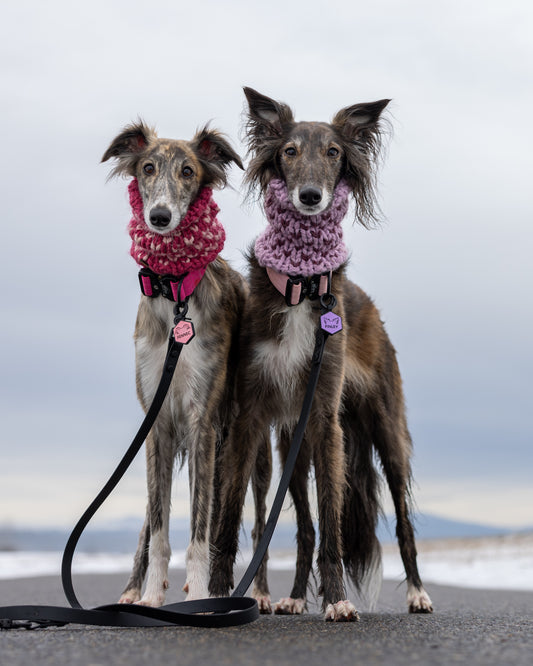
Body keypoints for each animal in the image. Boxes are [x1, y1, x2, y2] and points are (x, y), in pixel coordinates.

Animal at [208, 87, 432, 616]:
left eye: (333, 152)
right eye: (289, 151)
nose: (310, 196)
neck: (302, 283)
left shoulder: (327, 418)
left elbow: (333, 521)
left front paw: (337, 601)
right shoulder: (250, 415)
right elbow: (230, 516)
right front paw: (219, 594)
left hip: (383, 428)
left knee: (402, 521)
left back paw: (418, 592)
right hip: (293, 441)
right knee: (305, 528)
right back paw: (290, 598)